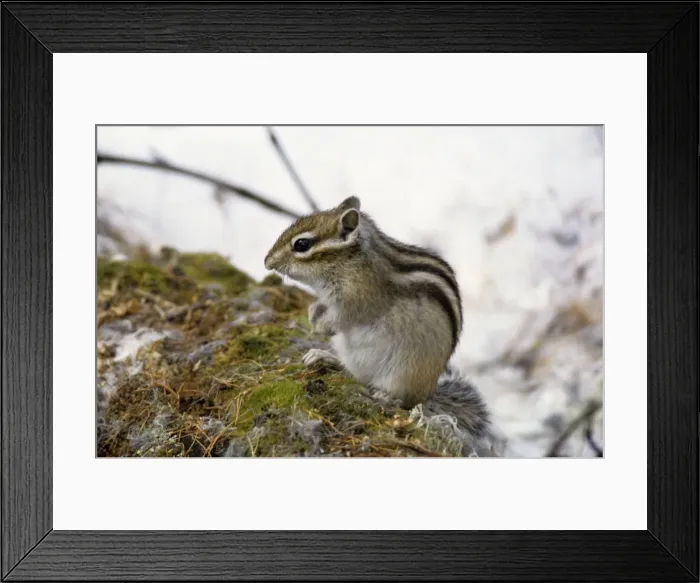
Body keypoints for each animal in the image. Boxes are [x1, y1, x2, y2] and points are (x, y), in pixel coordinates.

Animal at [264, 196, 496, 455]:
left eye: (302, 244)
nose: (267, 262)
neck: (350, 261)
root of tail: (428, 392)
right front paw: (313, 312)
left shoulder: (358, 300)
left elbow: (342, 319)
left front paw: (320, 326)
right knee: (356, 374)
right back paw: (324, 357)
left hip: (405, 372)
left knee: (404, 400)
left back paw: (385, 396)